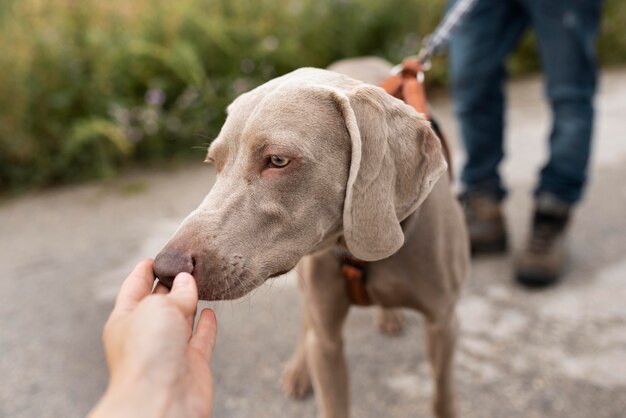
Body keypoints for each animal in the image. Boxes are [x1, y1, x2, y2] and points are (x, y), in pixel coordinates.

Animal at [154, 59, 468, 418]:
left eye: (278, 160)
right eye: (214, 163)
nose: (165, 267)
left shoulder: (443, 323)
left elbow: (443, 396)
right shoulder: (327, 343)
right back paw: (299, 371)